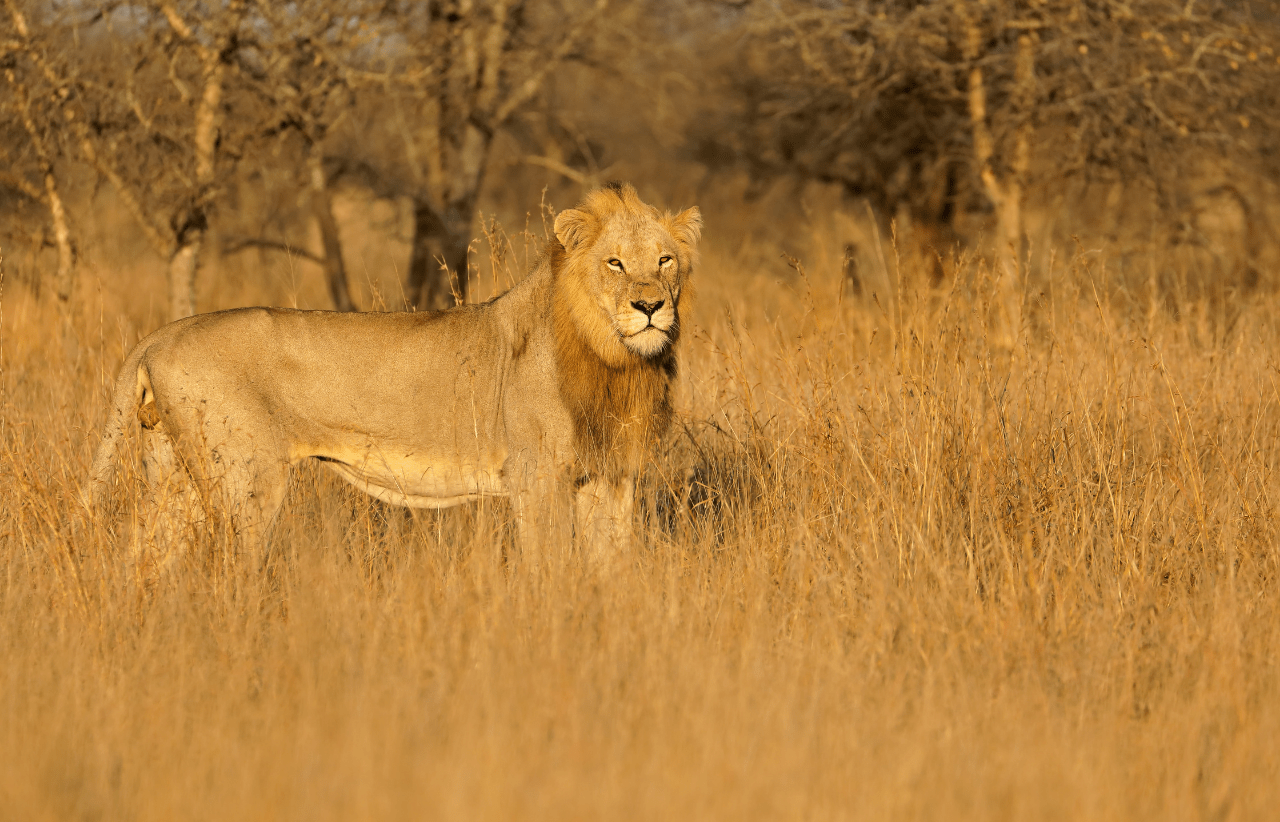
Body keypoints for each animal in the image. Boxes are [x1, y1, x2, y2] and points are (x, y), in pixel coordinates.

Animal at [86, 182, 701, 565]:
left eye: (664, 260)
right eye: (614, 262)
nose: (649, 306)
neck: (614, 360)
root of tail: (163, 332)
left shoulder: (611, 476)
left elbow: (610, 565)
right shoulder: (539, 476)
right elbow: (552, 566)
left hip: (174, 472)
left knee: (142, 554)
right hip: (244, 478)